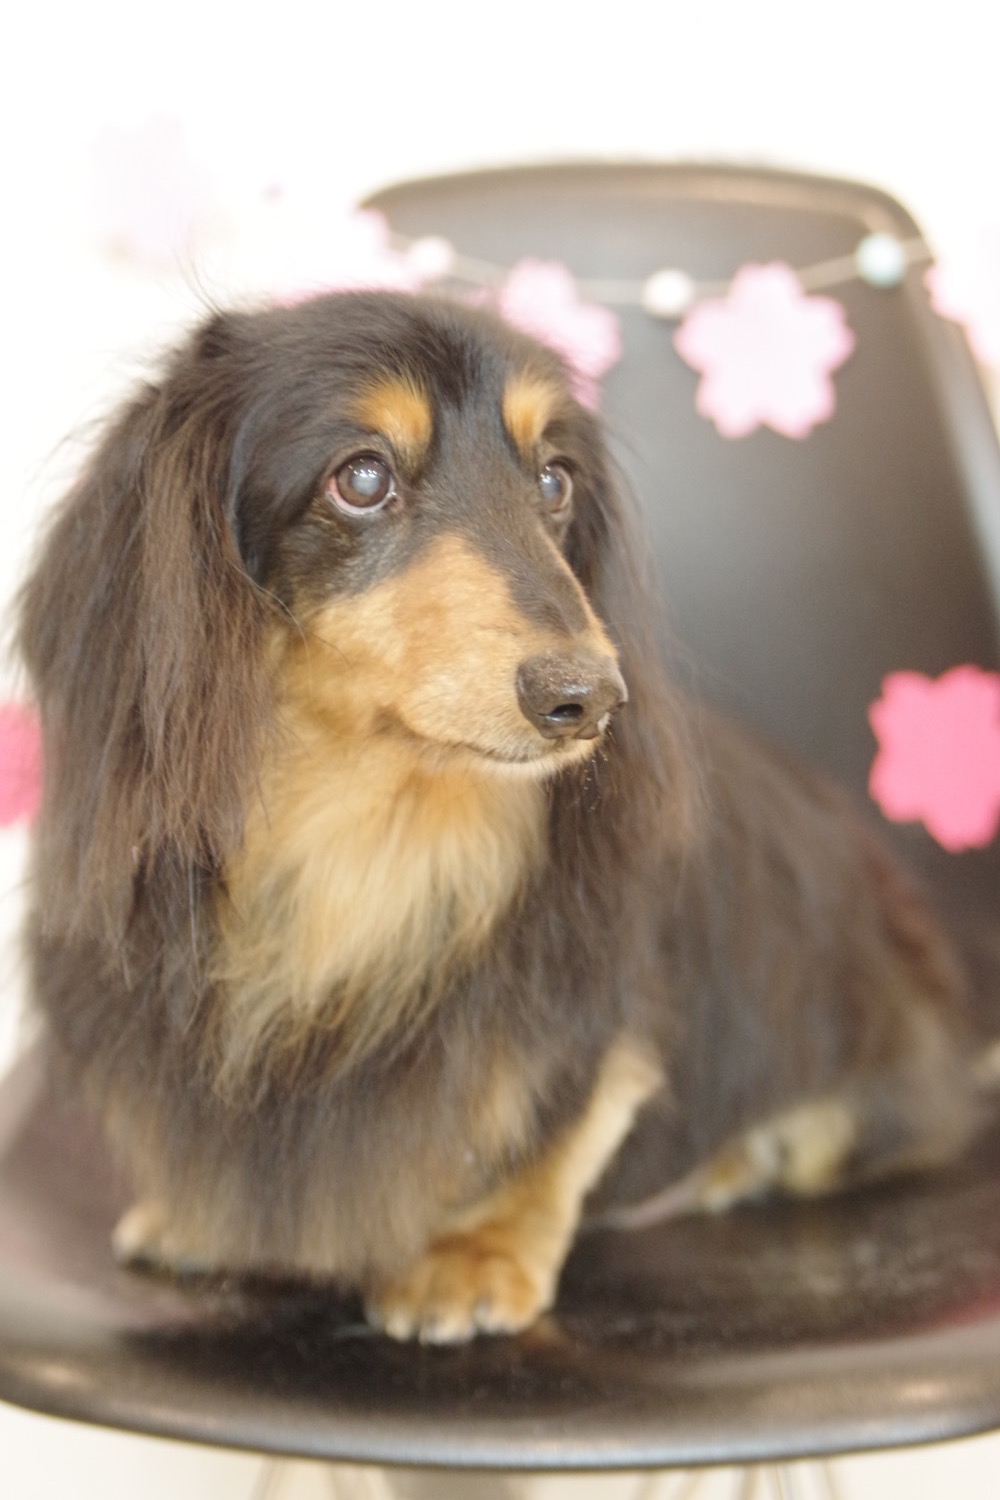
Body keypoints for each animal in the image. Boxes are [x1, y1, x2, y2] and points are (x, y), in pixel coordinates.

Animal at [17, 290, 984, 1344]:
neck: (365, 842)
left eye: (554, 479)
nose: (588, 699)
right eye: (362, 477)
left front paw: (476, 1246)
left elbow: (578, 1107)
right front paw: (208, 1217)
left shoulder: (597, 992)